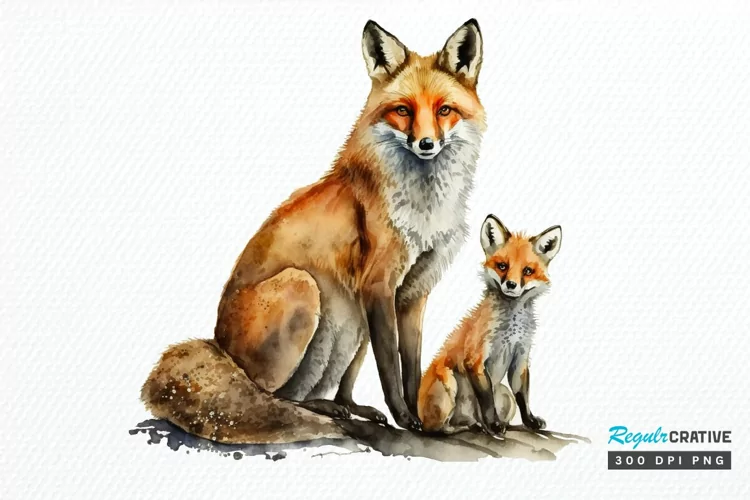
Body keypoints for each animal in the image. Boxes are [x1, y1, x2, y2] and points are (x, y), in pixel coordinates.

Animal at [141, 19, 487, 443]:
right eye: (403, 111)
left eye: (444, 110)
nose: (425, 143)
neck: (424, 208)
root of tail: (219, 345)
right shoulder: (379, 284)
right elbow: (390, 368)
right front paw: (406, 418)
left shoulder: (412, 292)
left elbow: (411, 367)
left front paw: (418, 415)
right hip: (307, 287)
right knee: (273, 395)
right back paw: (322, 410)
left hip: (354, 321)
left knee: (327, 389)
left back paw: (347, 407)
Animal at [417, 215, 562, 435]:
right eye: (502, 266)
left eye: (527, 271)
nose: (511, 285)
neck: (511, 329)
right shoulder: (475, 359)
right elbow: (486, 401)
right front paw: (494, 425)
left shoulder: (520, 357)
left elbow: (523, 396)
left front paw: (530, 421)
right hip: (448, 382)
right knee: (435, 428)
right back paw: (465, 427)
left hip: (505, 395)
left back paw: (478, 425)